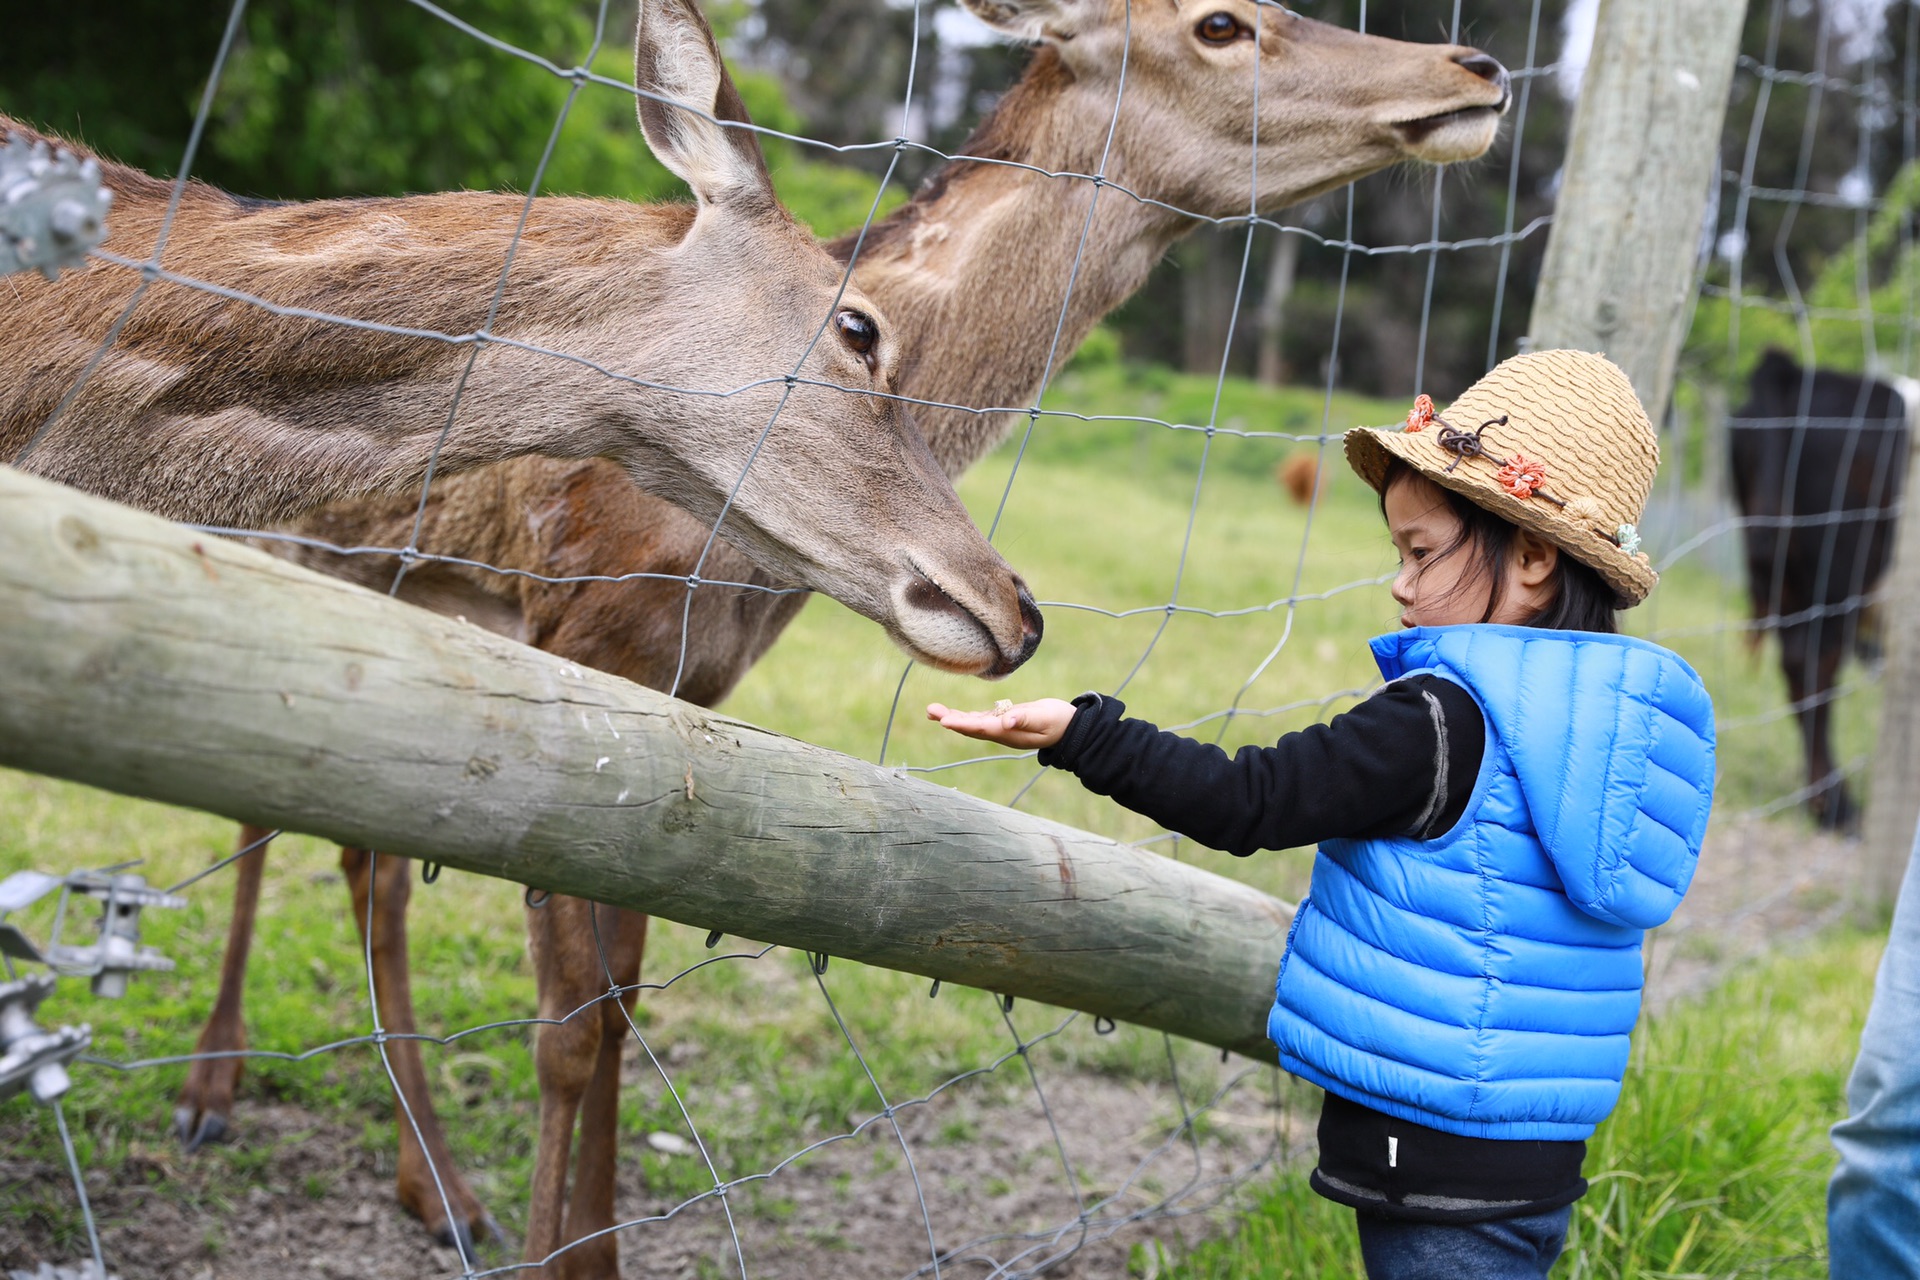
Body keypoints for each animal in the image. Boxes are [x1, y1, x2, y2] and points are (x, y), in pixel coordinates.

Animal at [168, 0, 1512, 1274]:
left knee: (360, 853)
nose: (1479, 68)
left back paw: (433, 1184)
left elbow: (624, 995)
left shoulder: (684, 691)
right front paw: (557, 1248)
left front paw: (591, 1250)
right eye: (1222, 23)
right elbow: (568, 1024)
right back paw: (217, 1092)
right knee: (270, 813)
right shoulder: (585, 631)